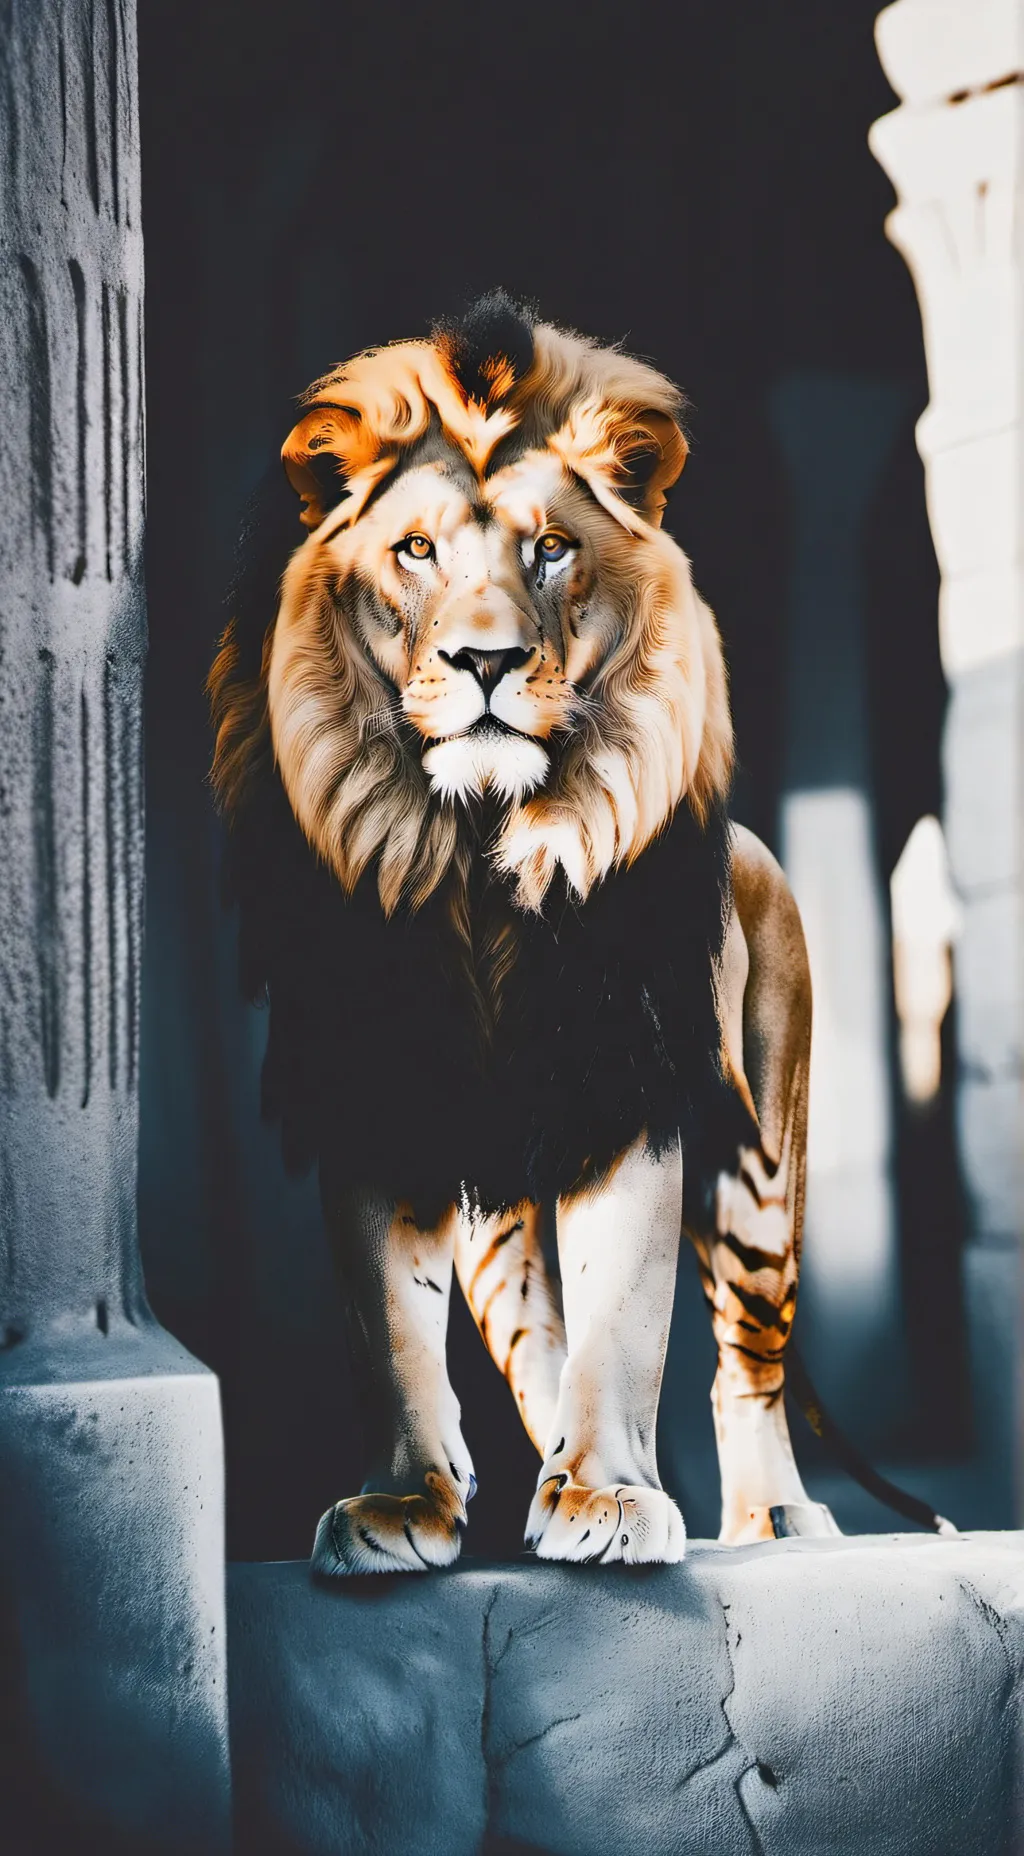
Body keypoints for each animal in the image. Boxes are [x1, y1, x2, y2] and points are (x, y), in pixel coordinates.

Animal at [208, 291, 843, 1572]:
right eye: (414, 551)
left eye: (550, 547)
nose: (487, 660)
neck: (474, 853)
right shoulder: (375, 1081)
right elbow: (389, 1325)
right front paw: (403, 1499)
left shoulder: (629, 1075)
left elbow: (626, 1314)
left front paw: (607, 1493)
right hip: (498, 1218)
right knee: (534, 1335)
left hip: (760, 1169)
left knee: (746, 1363)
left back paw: (773, 1515)